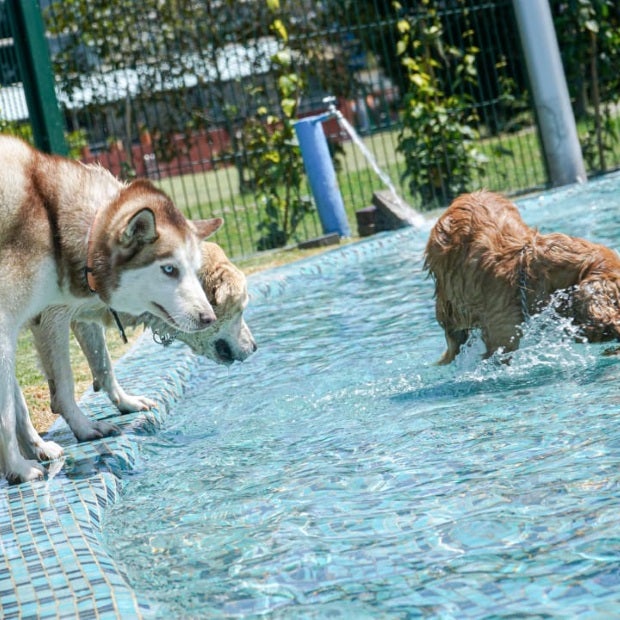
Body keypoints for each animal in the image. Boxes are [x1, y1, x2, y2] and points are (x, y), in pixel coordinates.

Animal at [0, 136, 222, 484]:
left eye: (193, 269)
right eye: (169, 270)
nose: (209, 318)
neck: (51, 221)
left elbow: (21, 404)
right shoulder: (28, 324)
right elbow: (29, 404)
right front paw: (21, 466)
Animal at [33, 242, 256, 440]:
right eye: (241, 309)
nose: (255, 347)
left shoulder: (82, 318)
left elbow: (103, 365)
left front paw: (126, 403)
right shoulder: (51, 316)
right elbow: (64, 388)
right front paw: (85, 428)